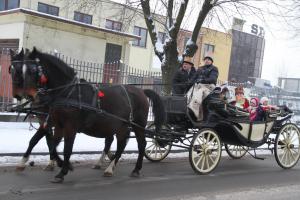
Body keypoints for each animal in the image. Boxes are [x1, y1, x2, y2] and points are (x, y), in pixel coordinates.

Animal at [9, 48, 164, 183]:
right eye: (11, 69)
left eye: (32, 70)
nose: (21, 95)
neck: (66, 92)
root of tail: (141, 91)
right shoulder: (56, 124)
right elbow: (50, 144)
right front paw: (60, 164)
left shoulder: (69, 126)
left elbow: (65, 148)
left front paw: (62, 171)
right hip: (120, 126)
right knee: (119, 143)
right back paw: (110, 165)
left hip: (138, 125)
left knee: (141, 144)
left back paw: (133, 169)